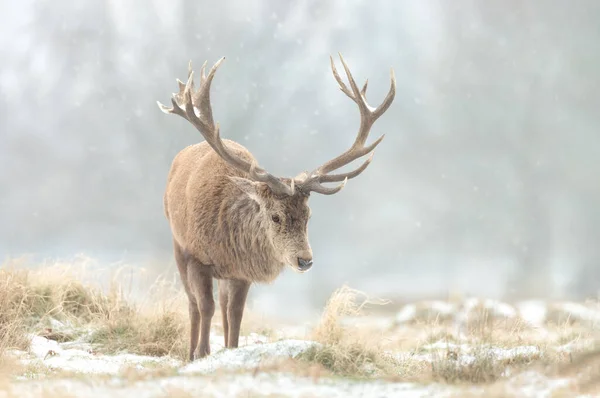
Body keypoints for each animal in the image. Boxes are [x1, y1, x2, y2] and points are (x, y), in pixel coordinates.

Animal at [157, 54, 396, 362]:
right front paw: (200, 354)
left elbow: (235, 314)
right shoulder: (196, 256)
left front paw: (231, 350)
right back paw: (191, 351)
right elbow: (204, 306)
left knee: (223, 304)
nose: (305, 260)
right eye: (275, 216)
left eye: (308, 216)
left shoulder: (241, 270)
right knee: (193, 303)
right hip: (177, 245)